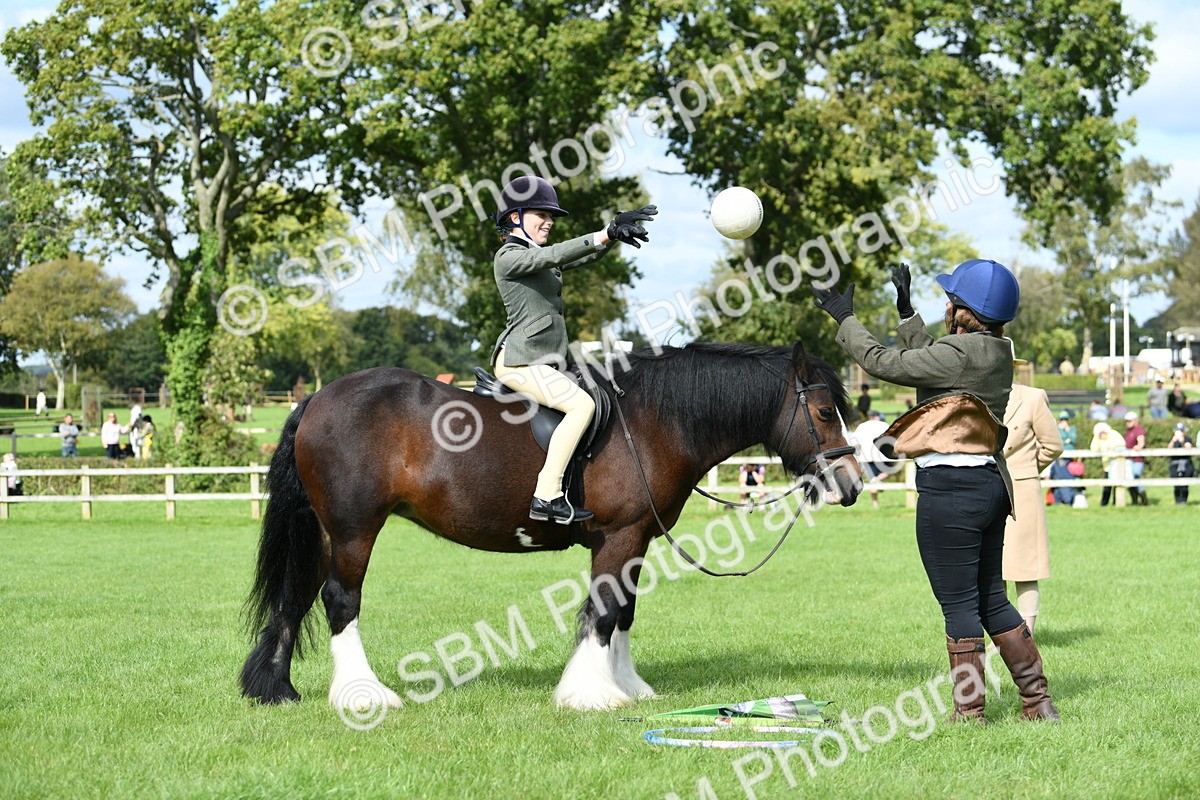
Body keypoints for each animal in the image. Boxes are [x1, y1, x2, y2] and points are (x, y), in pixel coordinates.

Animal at [240, 340, 862, 712]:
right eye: (825, 412)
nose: (852, 483)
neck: (652, 421)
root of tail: (319, 398)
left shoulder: (636, 539)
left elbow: (624, 612)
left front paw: (627, 685)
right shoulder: (619, 535)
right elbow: (604, 611)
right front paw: (590, 693)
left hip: (325, 531)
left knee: (296, 597)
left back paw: (276, 689)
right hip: (353, 530)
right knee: (340, 600)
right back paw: (363, 696)